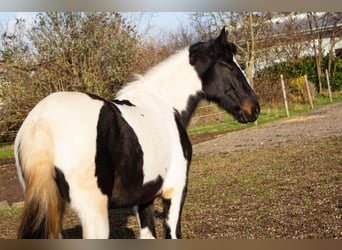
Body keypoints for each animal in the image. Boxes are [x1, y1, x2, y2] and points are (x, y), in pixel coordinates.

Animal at [13, 26, 260, 238]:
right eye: (228, 65)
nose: (254, 109)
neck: (165, 104)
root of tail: (41, 121)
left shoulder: (145, 198)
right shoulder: (175, 191)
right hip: (93, 214)